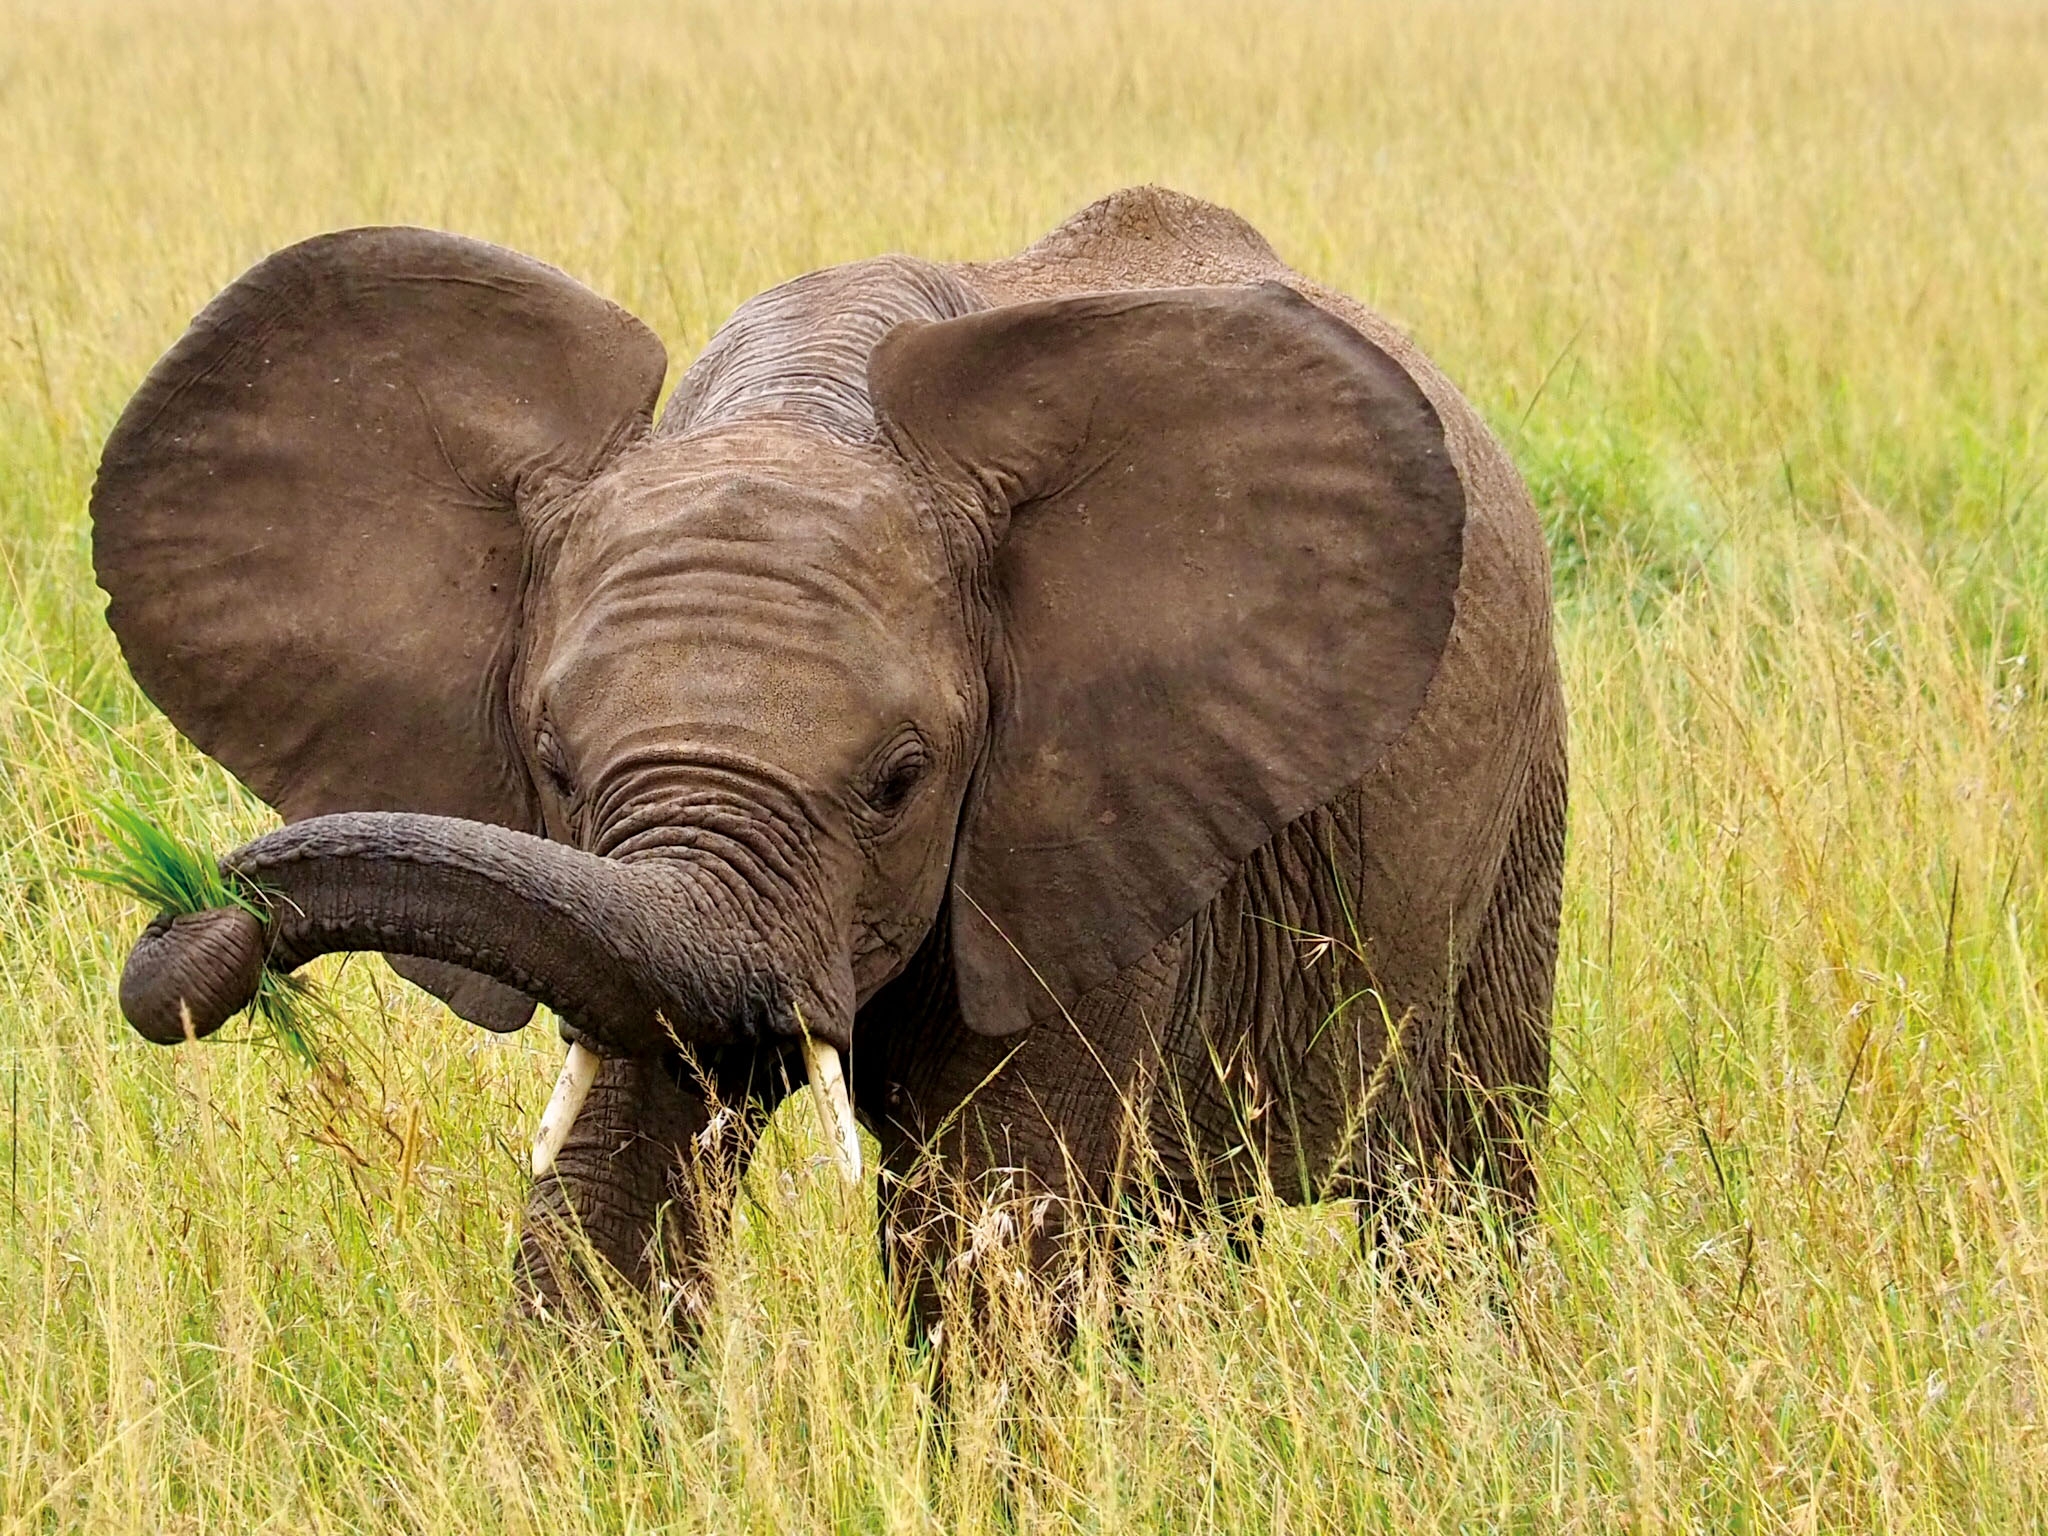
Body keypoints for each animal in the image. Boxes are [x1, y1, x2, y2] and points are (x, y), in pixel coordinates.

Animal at [94, 186, 1565, 1331]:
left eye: (899, 782)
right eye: (554, 766)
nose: (192, 927)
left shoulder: (1083, 812)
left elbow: (992, 1242)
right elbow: (611, 1200)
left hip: (1523, 787)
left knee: (1456, 1174)